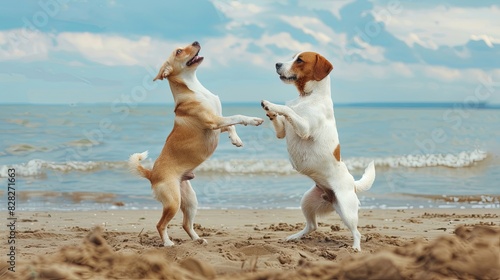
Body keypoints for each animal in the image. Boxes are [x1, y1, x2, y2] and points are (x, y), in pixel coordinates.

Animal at [129, 40, 264, 246]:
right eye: (179, 51)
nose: (196, 42)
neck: (195, 88)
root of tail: (151, 174)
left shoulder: (218, 124)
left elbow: (231, 126)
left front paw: (236, 140)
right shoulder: (214, 121)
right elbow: (237, 117)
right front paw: (253, 120)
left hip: (190, 201)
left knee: (186, 224)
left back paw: (198, 240)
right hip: (173, 202)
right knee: (161, 225)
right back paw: (168, 243)